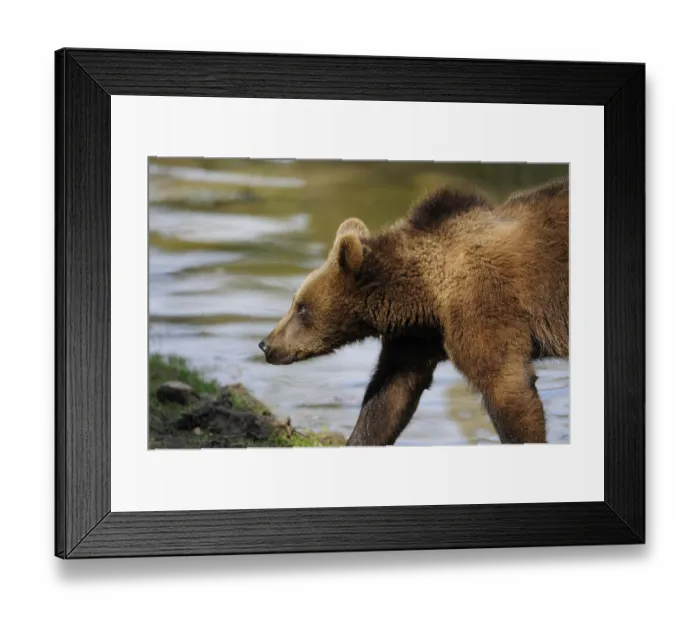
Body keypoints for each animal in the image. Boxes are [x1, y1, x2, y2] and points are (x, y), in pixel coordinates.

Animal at [259, 177, 569, 445]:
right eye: (295, 301)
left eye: (302, 308)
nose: (266, 344)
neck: (426, 294)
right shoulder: (418, 337)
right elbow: (390, 396)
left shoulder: (484, 312)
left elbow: (507, 387)